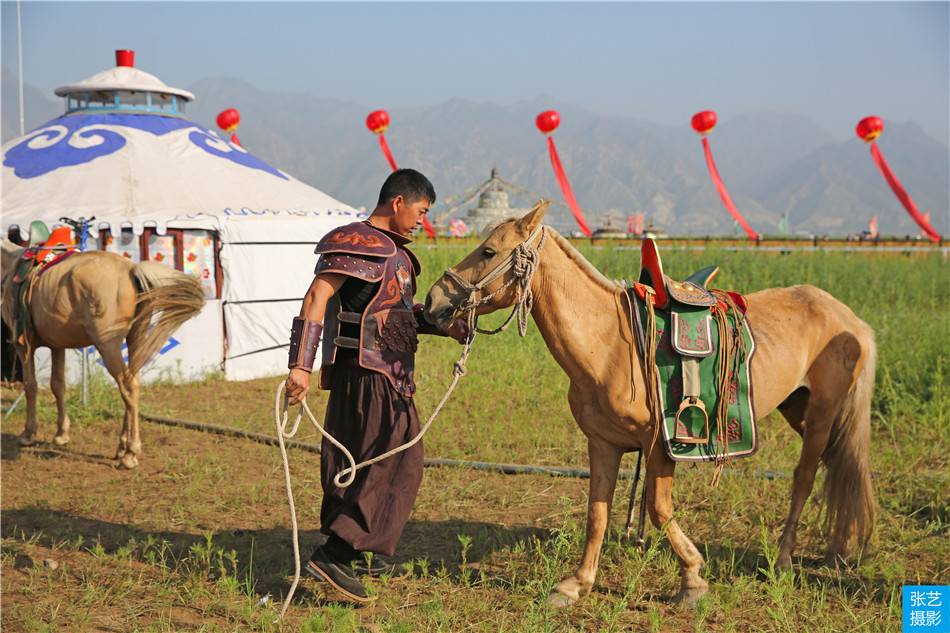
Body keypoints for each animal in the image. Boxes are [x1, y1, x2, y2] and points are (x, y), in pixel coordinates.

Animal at [2, 239, 205, 466]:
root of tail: (131, 270)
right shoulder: (57, 345)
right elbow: (57, 385)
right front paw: (61, 433)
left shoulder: (23, 346)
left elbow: (31, 386)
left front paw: (28, 434)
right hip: (136, 337)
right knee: (133, 383)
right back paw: (122, 446)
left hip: (108, 345)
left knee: (127, 386)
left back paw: (131, 452)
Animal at [424, 202, 876, 608]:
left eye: (488, 251)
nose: (433, 302)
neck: (608, 342)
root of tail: (847, 318)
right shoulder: (602, 443)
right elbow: (597, 512)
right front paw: (575, 585)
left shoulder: (661, 444)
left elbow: (659, 510)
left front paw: (692, 579)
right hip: (799, 409)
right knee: (838, 466)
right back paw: (838, 548)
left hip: (822, 413)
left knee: (805, 478)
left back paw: (782, 560)